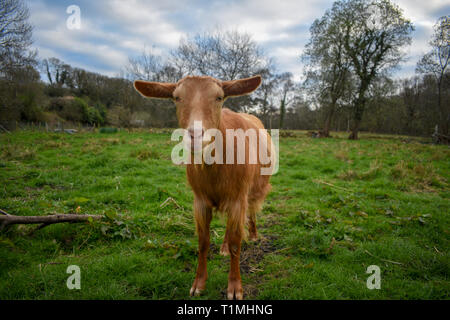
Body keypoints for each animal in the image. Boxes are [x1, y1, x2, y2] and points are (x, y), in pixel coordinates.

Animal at [134, 75, 274, 300]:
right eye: (177, 98)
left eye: (219, 97)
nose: (196, 135)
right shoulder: (199, 200)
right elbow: (203, 242)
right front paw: (198, 284)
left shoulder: (238, 197)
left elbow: (236, 243)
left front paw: (235, 288)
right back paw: (224, 246)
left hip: (255, 187)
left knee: (252, 209)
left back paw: (253, 235)